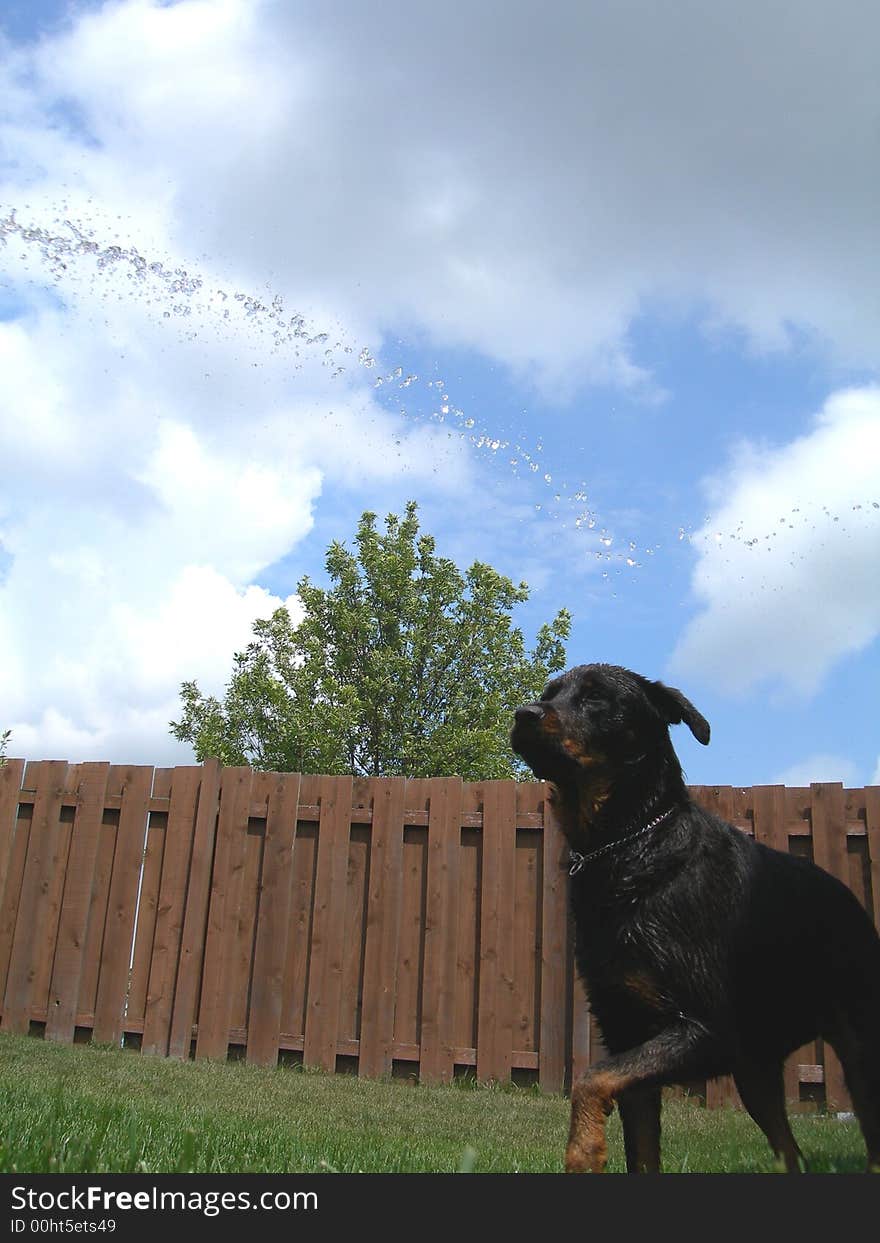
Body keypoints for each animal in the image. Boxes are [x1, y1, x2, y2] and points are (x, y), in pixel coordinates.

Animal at [509, 666, 879, 1168]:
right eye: (550, 693)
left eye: (597, 698)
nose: (523, 714)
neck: (627, 846)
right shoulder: (627, 1035)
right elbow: (638, 1145)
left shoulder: (706, 1031)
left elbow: (590, 1077)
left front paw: (583, 1151)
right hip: (756, 1072)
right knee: (791, 1154)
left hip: (859, 1052)